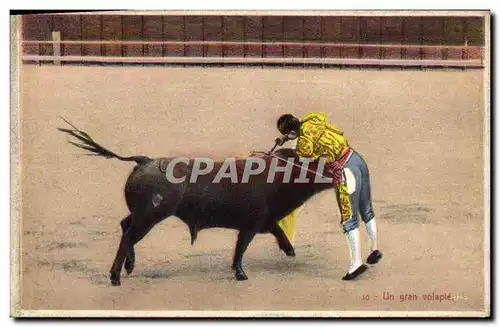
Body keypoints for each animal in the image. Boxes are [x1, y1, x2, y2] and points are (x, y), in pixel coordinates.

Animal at [58, 121, 336, 288]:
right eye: (320, 163)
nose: (338, 176)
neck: (279, 174)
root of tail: (144, 160)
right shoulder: (251, 224)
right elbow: (241, 249)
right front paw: (240, 274)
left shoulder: (264, 221)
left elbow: (277, 233)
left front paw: (290, 250)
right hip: (150, 216)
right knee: (128, 235)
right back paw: (116, 276)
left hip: (142, 215)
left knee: (125, 226)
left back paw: (128, 267)